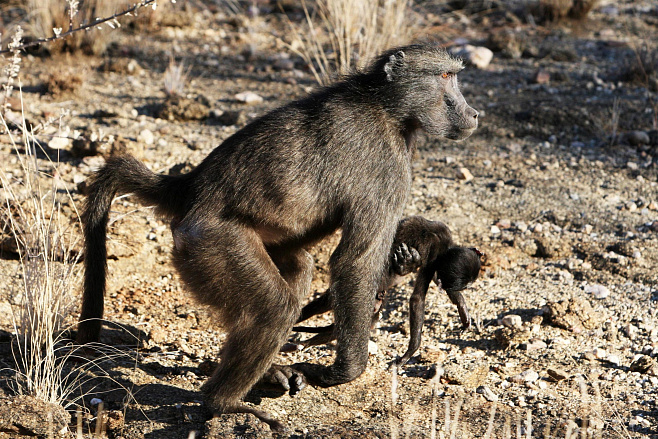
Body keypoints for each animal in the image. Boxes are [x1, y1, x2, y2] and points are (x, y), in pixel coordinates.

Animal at [289, 216, 482, 367]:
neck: (446, 248)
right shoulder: (434, 253)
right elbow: (417, 298)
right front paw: (409, 353)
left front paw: (462, 308)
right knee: (322, 306)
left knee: (364, 320)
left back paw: (304, 343)